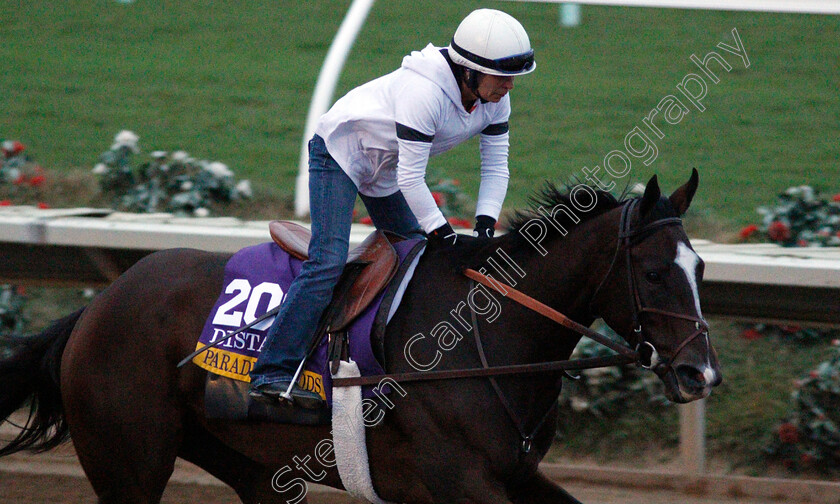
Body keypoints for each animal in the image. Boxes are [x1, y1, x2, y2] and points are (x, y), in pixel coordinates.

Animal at [0, 171, 720, 502]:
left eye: (702, 269)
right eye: (655, 273)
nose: (701, 374)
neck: (487, 340)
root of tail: (95, 310)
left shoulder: (517, 473)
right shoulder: (460, 479)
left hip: (248, 463)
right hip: (129, 461)